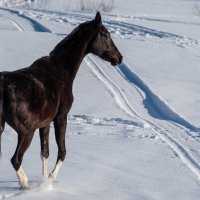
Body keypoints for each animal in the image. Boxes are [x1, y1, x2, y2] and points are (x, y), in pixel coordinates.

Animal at [0, 10, 122, 189]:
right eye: (105, 35)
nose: (119, 58)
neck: (62, 69)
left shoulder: (44, 124)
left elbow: (45, 152)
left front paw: (44, 180)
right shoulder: (61, 117)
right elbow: (62, 151)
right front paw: (50, 179)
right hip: (26, 132)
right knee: (16, 159)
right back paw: (25, 184)